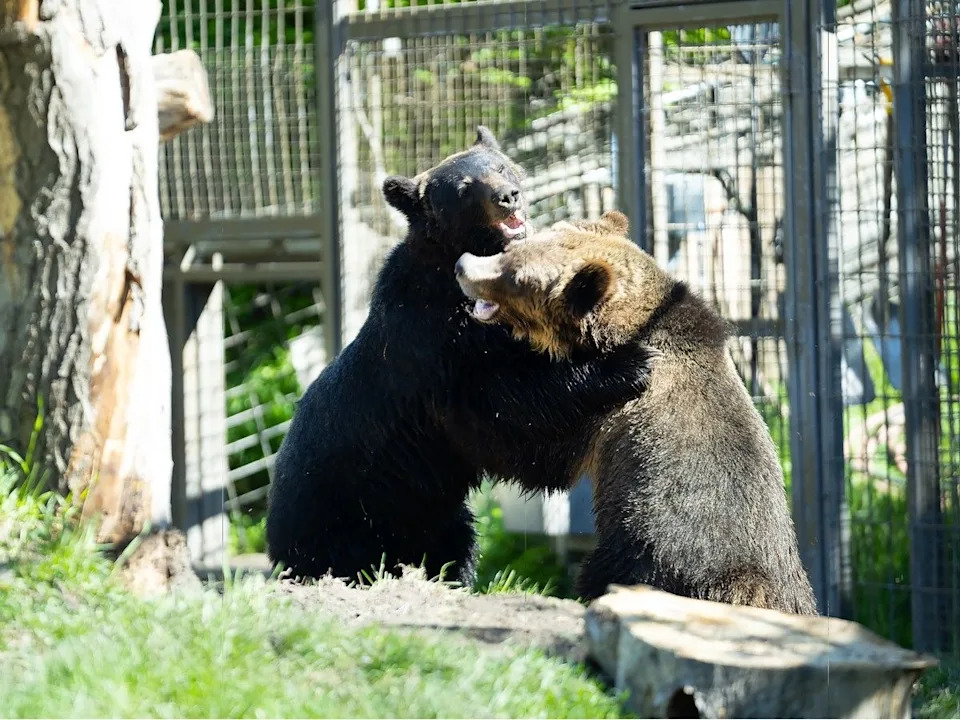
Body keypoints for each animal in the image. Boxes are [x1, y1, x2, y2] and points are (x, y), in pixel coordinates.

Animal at [266, 132, 655, 586]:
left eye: (501, 167)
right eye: (466, 188)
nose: (508, 196)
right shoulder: (435, 346)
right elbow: (503, 411)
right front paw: (630, 362)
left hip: (431, 515)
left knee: (455, 545)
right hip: (341, 511)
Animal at [453, 211, 818, 614]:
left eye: (517, 277)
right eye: (513, 249)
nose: (463, 265)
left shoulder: (604, 415)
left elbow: (532, 444)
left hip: (645, 550)